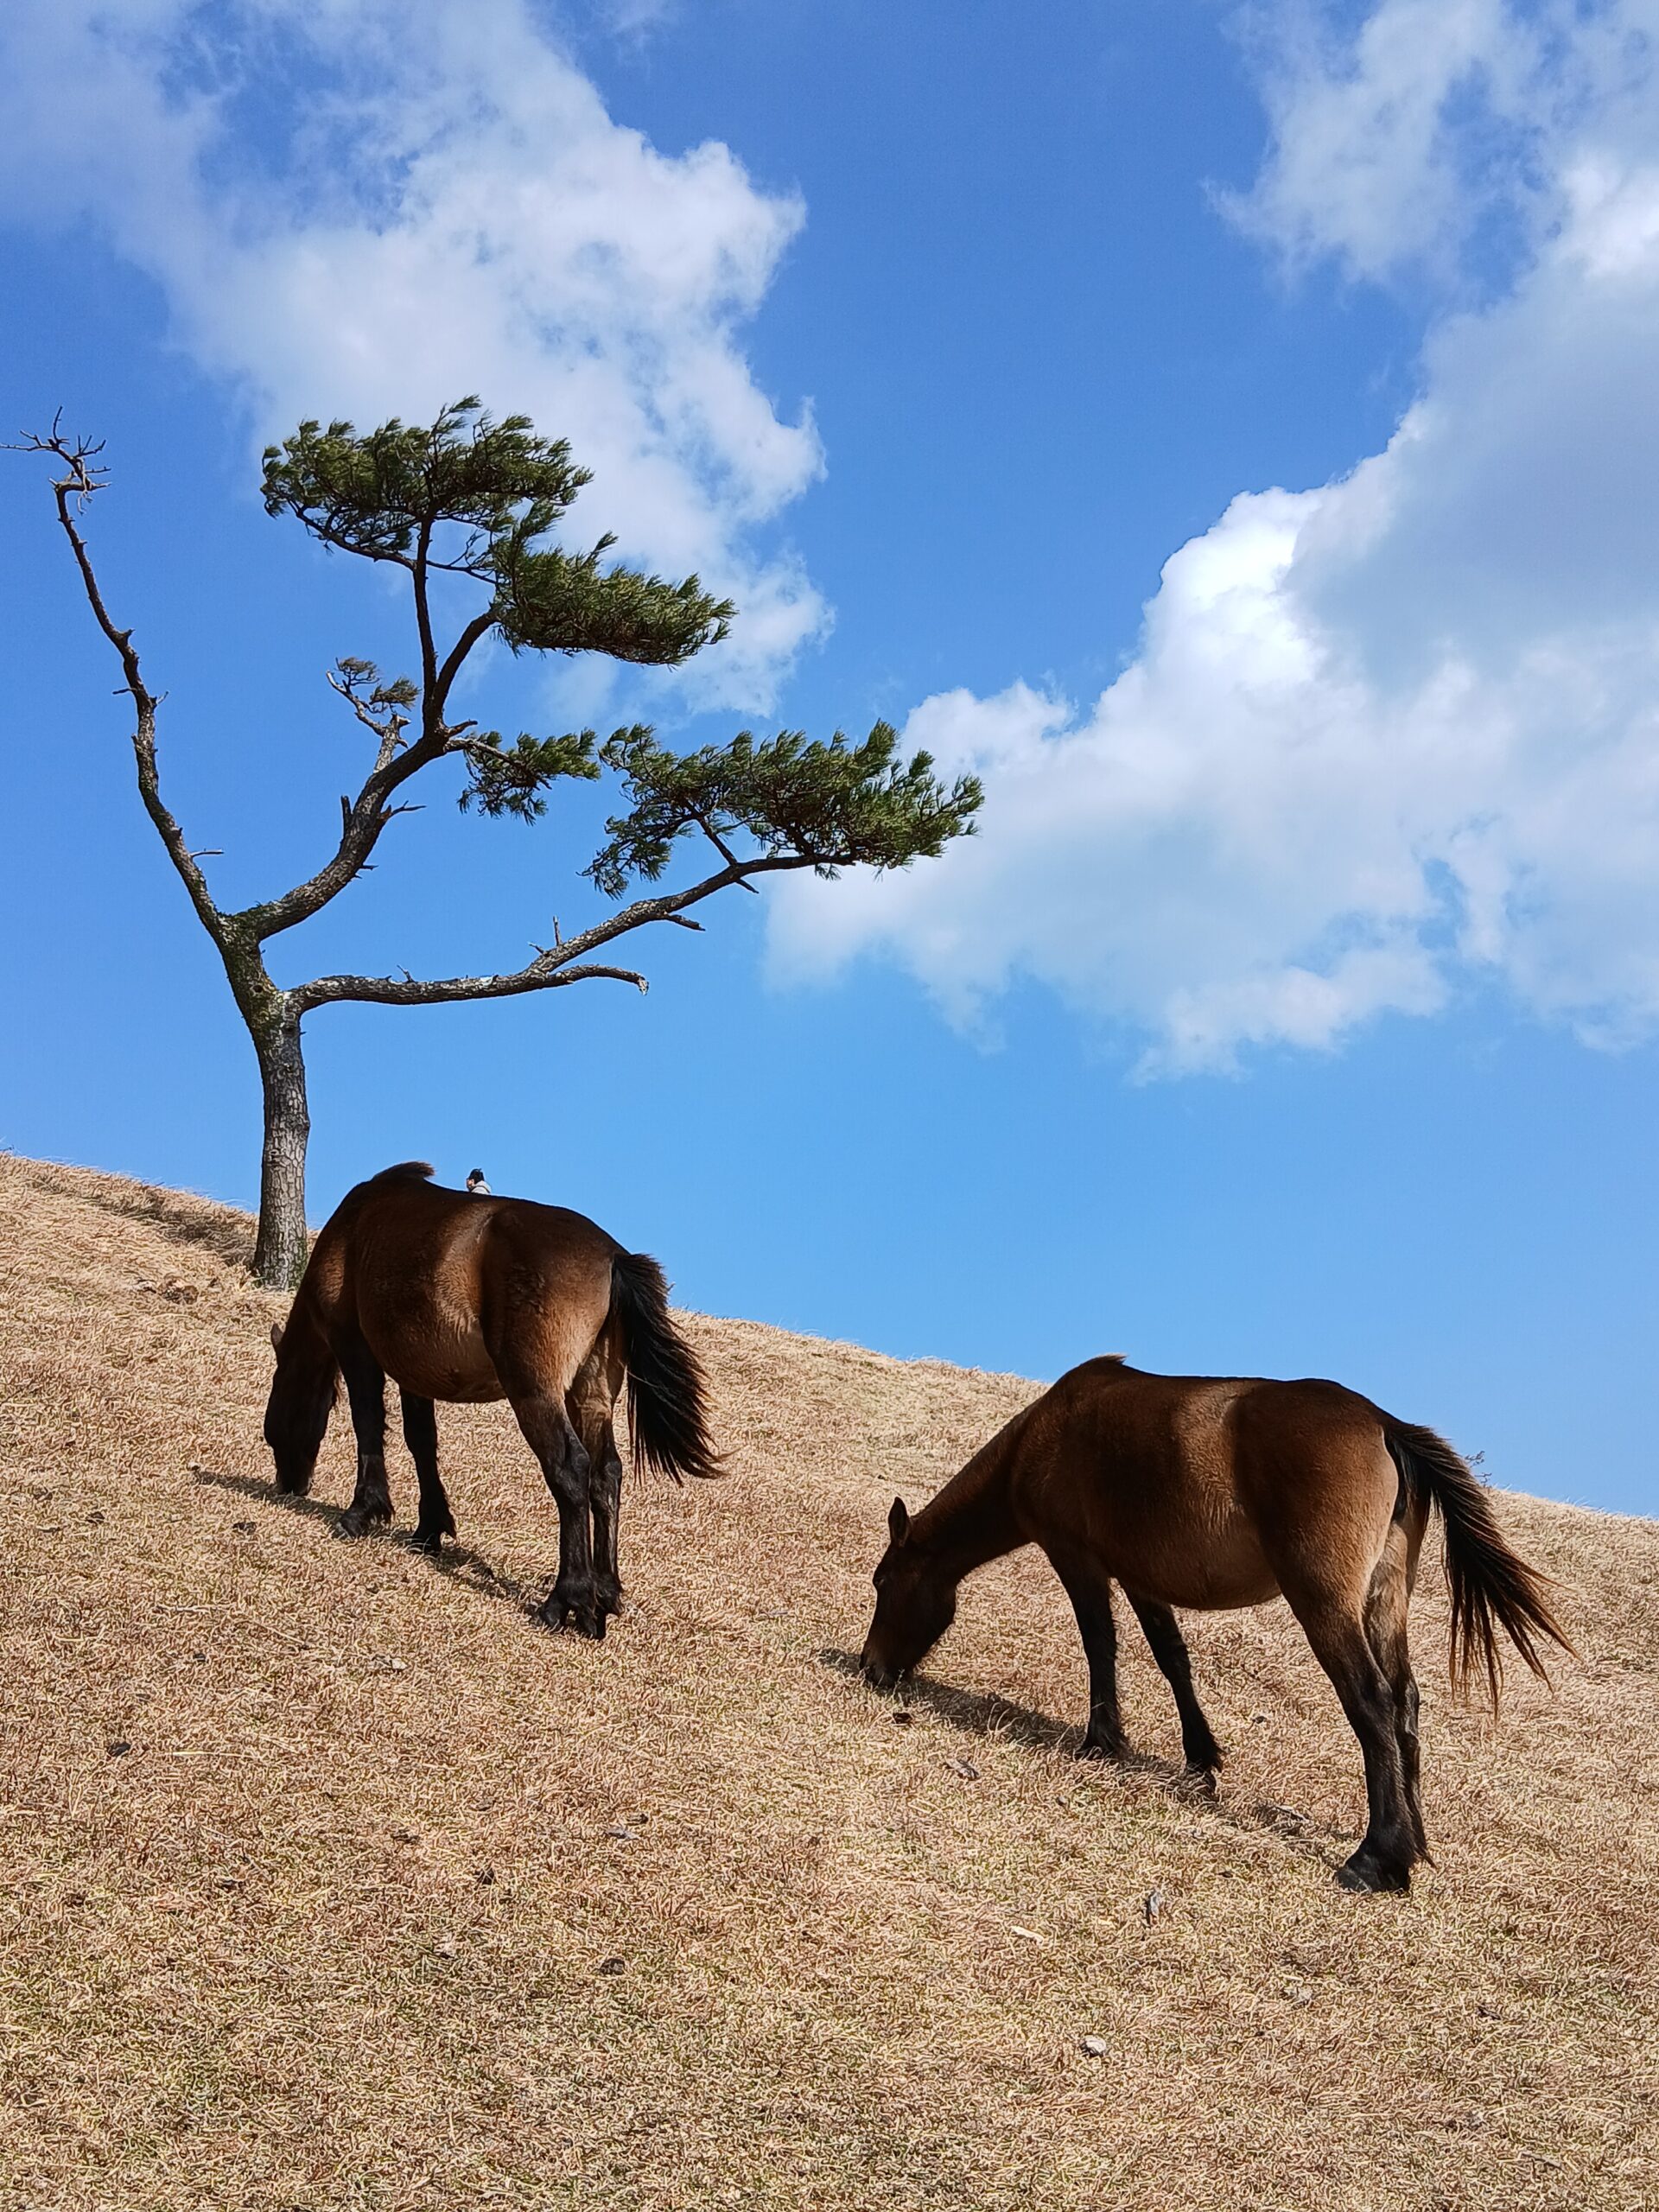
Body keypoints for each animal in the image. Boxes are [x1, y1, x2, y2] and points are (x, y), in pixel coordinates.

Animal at [263, 1162, 719, 1637]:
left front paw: (362, 1511)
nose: (290, 1484)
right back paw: (605, 1593)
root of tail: (612, 1258)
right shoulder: (415, 1375)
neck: (353, 1228)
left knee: (570, 1470)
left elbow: (368, 1424)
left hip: (535, 1393)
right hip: (590, 1397)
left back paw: (566, 1598)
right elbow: (421, 1442)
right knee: (605, 1473)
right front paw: (429, 1528)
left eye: (274, 1428)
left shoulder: (356, 1349)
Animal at [859, 1356, 1572, 1891]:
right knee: (1404, 1704)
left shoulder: (1078, 1559)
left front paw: (1101, 1741)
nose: (871, 1667)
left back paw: (1378, 1858)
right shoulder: (1140, 1578)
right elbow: (1171, 1656)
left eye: (881, 1583)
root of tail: (1382, 1423)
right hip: (1383, 1598)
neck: (1045, 1435)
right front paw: (1200, 1759)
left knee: (1371, 1702)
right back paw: (1414, 1841)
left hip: (1324, 1601)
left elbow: (1100, 1647)